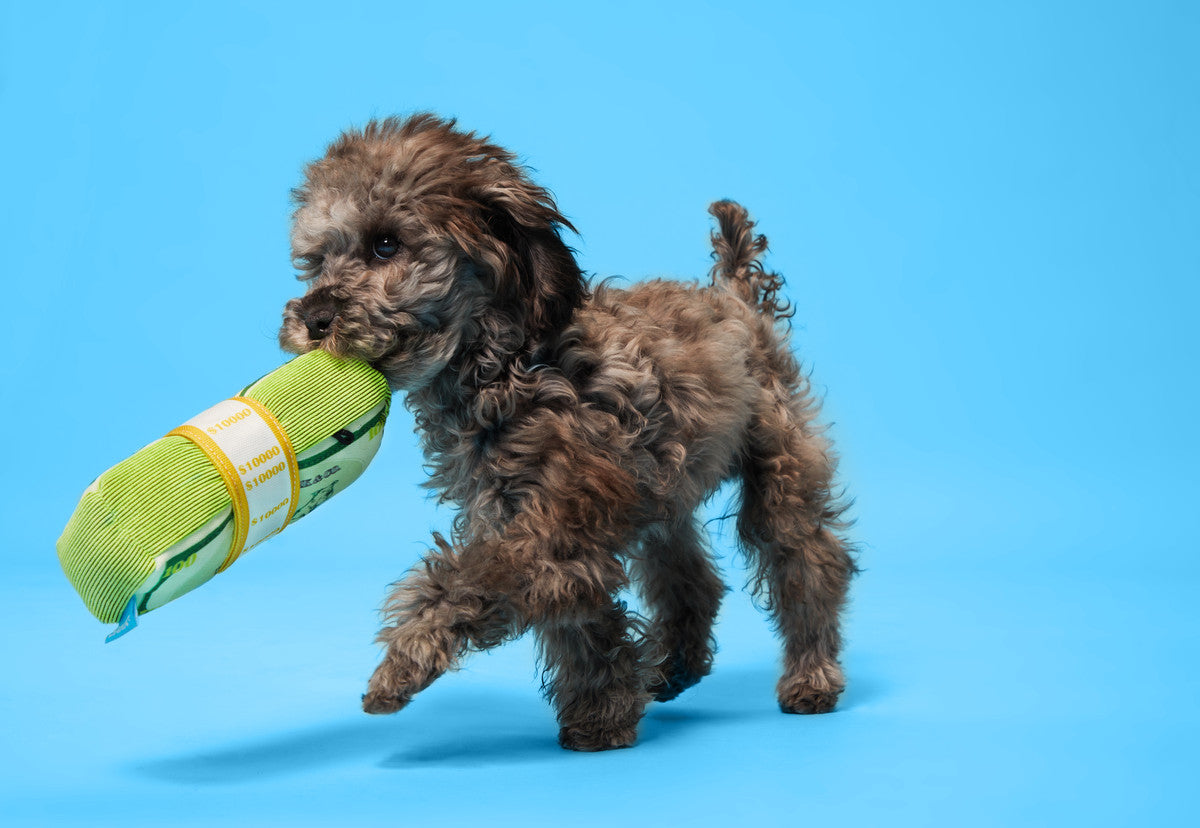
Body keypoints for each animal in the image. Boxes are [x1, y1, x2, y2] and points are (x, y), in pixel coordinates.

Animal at [276, 112, 859, 753]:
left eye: (385, 244)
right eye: (316, 262)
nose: (313, 317)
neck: (509, 369)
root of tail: (735, 297)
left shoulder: (557, 523)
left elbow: (469, 580)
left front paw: (403, 662)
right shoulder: (526, 515)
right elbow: (580, 619)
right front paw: (601, 714)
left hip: (778, 464)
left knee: (808, 560)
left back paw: (812, 675)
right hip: (664, 495)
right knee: (692, 582)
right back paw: (674, 668)